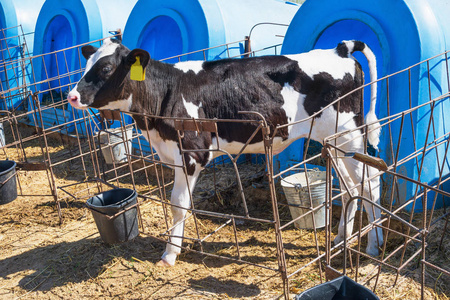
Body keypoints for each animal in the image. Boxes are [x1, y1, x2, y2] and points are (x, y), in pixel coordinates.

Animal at [67, 38, 384, 266]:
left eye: (106, 69)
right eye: (87, 65)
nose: (72, 96)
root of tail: (339, 50)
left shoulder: (192, 154)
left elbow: (178, 204)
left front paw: (170, 254)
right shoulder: (171, 154)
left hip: (349, 134)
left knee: (370, 183)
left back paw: (374, 245)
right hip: (333, 140)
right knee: (349, 186)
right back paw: (342, 237)